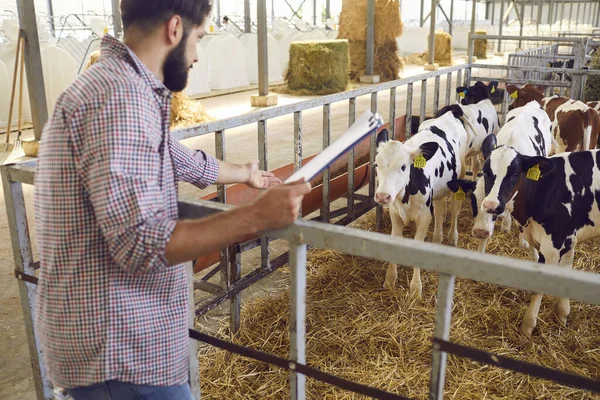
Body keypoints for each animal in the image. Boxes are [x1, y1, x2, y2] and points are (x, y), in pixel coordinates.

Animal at [376, 108, 468, 298]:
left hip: (460, 178)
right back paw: (437, 238)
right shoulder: (395, 213)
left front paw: (415, 289)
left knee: (454, 210)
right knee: (440, 210)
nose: (382, 196)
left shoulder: (425, 216)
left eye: (404, 167)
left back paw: (452, 237)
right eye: (376, 165)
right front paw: (390, 280)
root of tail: (449, 113)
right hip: (439, 190)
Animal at [452, 143, 600, 334]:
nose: (491, 205)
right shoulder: (568, 239)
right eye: (486, 171)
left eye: (515, 174)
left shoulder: (555, 244)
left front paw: (527, 326)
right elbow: (566, 272)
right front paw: (563, 315)